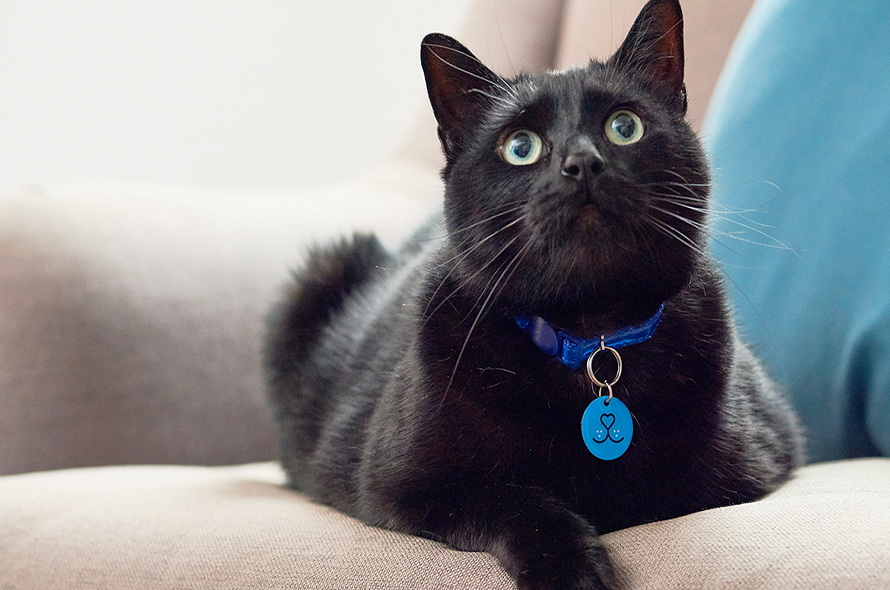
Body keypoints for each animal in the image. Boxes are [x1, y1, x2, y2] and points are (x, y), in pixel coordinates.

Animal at [264, 2, 804, 588]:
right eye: (520, 147)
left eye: (625, 127)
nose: (583, 163)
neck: (592, 339)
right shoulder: (404, 487)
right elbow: (516, 501)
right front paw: (572, 568)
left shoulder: (754, 462)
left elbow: (653, 487)